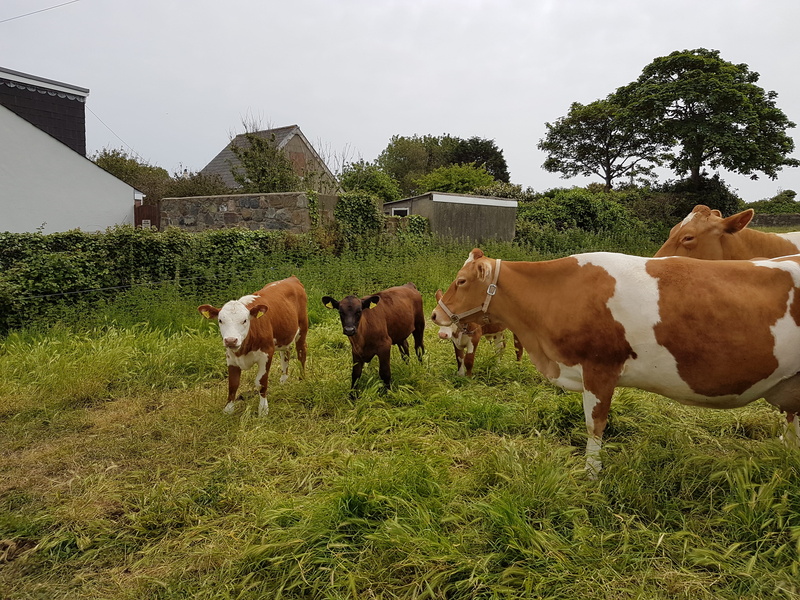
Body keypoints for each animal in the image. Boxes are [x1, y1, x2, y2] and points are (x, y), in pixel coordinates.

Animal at [198, 275, 308, 417]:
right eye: (220, 320)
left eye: (245, 320)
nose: (231, 340)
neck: (242, 349)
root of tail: (291, 278)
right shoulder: (230, 358)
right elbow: (233, 384)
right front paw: (228, 409)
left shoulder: (266, 353)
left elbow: (261, 383)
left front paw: (263, 410)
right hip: (284, 335)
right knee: (285, 354)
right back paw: (283, 380)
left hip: (302, 329)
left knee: (301, 353)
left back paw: (302, 378)